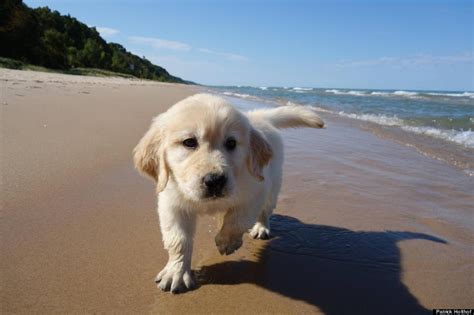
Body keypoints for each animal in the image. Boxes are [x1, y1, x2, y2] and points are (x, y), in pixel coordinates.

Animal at [135, 93, 324, 294]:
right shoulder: (173, 204)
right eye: (189, 142)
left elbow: (238, 219)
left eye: (231, 143)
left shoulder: (256, 191)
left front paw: (227, 241)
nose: (215, 181)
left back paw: (261, 227)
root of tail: (259, 117)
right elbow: (178, 240)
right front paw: (176, 272)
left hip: (273, 185)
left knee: (265, 211)